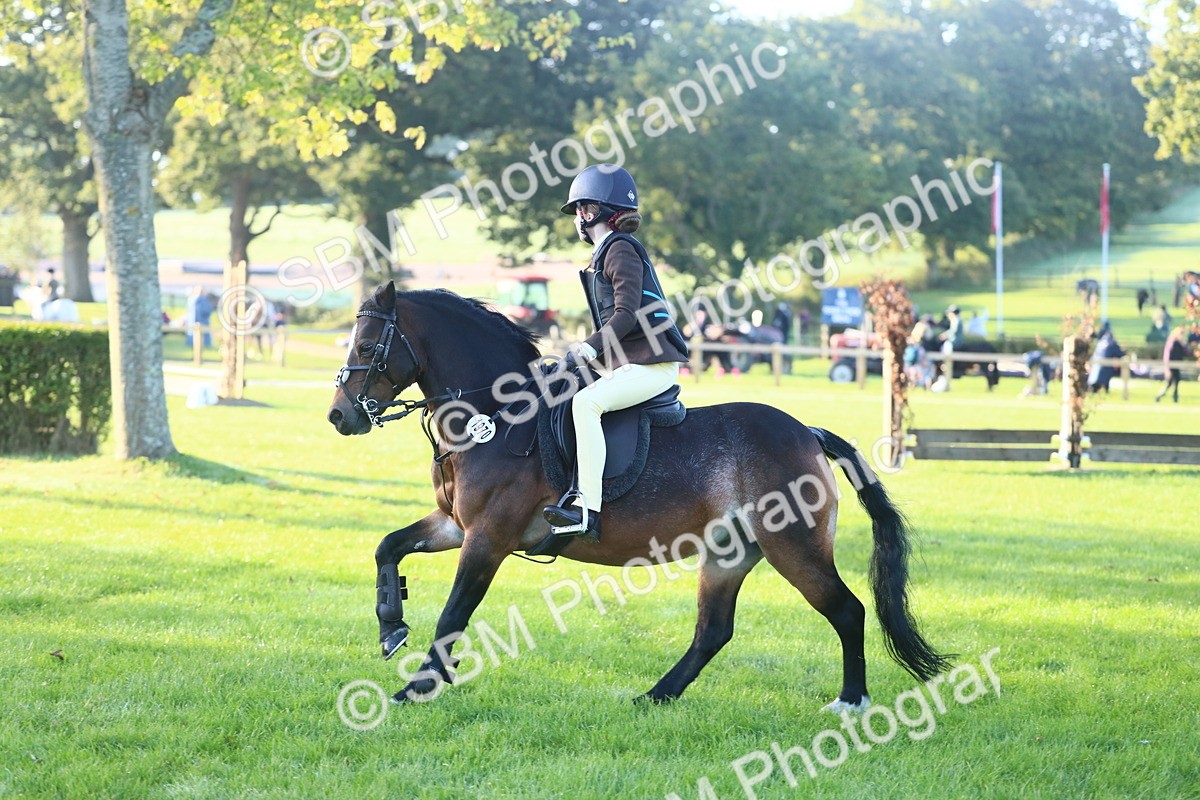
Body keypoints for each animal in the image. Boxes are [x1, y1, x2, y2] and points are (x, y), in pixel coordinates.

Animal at [327, 282, 951, 709]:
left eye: (368, 343)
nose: (339, 417)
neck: (497, 415)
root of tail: (807, 432)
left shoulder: (488, 538)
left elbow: (454, 612)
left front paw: (417, 688)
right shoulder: (454, 525)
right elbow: (387, 547)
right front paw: (391, 627)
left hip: (793, 548)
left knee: (847, 611)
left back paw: (851, 701)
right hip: (729, 553)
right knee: (713, 631)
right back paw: (655, 696)